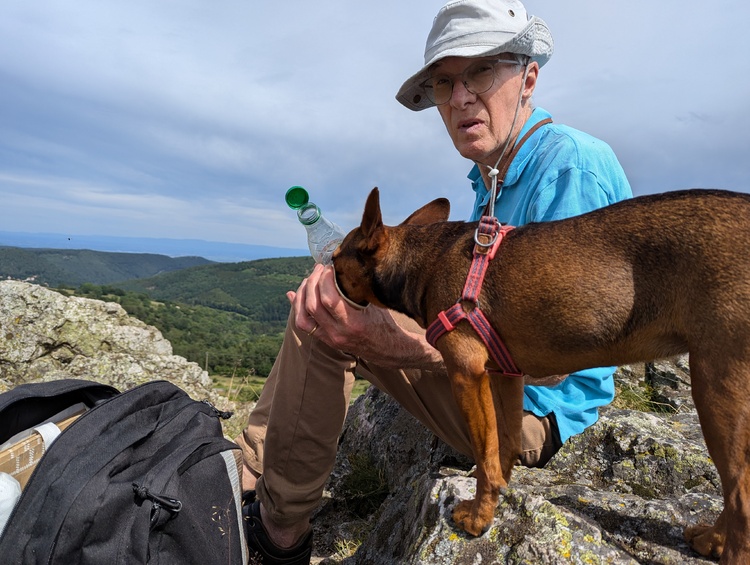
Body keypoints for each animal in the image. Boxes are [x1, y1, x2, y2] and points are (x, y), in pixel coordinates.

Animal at [334, 186, 750, 560]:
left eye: (337, 258)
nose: (326, 273)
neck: (422, 260)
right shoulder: (505, 375)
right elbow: (503, 447)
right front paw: (498, 496)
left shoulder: (466, 372)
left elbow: (485, 454)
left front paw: (479, 518)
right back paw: (712, 540)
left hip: (717, 387)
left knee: (741, 497)